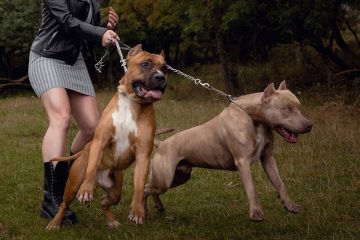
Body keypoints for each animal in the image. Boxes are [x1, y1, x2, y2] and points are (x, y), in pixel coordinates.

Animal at [46, 44, 167, 230]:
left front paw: (137, 210)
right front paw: (86, 190)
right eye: (146, 64)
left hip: (115, 191)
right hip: (73, 185)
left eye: (165, 68)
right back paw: (55, 222)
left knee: (104, 202)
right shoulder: (100, 141)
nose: (161, 77)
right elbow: (92, 166)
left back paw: (111, 221)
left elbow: (140, 185)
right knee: (64, 204)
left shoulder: (143, 154)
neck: (132, 103)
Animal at [146, 82, 312, 221]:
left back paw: (159, 206)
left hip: (179, 177)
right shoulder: (242, 161)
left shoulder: (268, 158)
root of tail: (161, 144)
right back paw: (143, 211)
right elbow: (251, 188)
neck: (253, 117)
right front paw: (256, 213)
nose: (309, 125)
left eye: (299, 107)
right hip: (164, 179)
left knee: (152, 190)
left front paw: (289, 205)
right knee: (146, 188)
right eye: (287, 109)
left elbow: (279, 183)